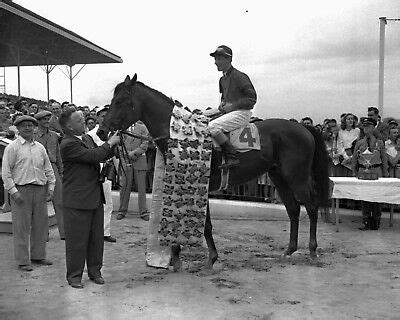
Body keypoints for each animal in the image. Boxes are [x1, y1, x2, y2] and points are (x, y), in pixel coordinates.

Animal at [97, 74, 328, 270]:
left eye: (120, 101)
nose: (101, 131)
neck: (178, 134)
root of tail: (303, 128)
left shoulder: (200, 184)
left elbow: (206, 225)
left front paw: (209, 259)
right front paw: (177, 256)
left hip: (296, 177)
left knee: (311, 207)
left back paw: (312, 251)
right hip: (278, 177)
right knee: (293, 209)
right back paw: (289, 250)